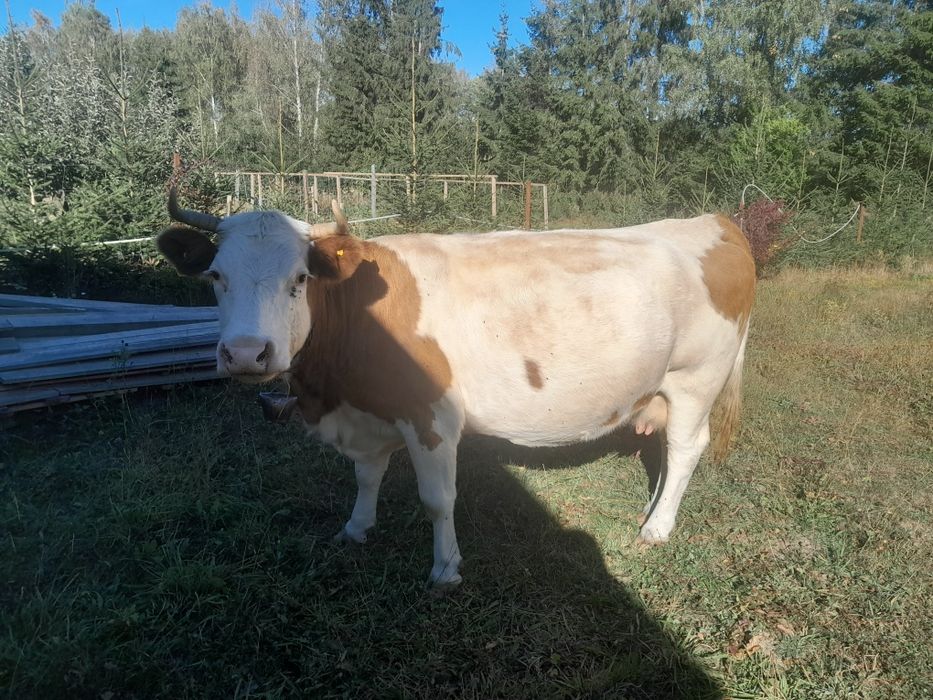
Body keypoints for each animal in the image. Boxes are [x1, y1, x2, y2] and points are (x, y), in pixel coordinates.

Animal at [158, 190, 755, 588]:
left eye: (298, 280)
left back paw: (657, 527)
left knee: (685, 449)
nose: (245, 354)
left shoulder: (432, 416)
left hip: (696, 378)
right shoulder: (368, 414)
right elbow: (367, 477)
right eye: (215, 277)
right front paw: (356, 528)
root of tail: (715, 221)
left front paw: (445, 568)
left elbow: (437, 499)